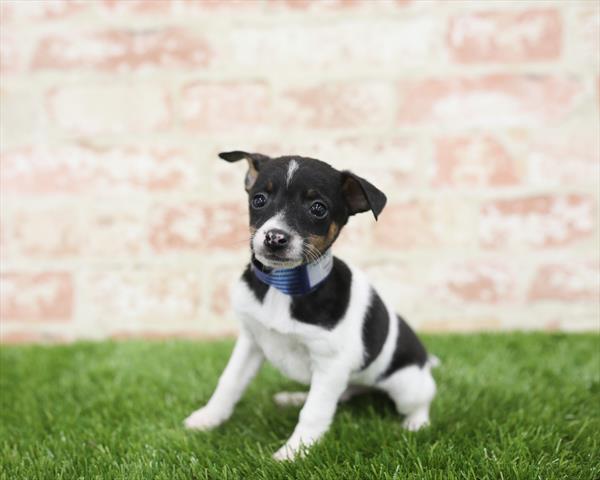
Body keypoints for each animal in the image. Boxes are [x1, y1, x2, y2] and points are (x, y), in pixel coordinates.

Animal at [183, 152, 436, 460]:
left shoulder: (331, 364)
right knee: (342, 394)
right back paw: (293, 397)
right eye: (259, 200)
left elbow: (314, 412)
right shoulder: (250, 342)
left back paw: (415, 425)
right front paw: (208, 418)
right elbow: (229, 382)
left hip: (407, 385)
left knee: (420, 402)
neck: (285, 284)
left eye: (318, 208)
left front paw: (293, 453)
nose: (274, 238)